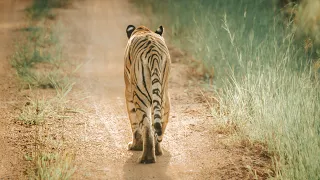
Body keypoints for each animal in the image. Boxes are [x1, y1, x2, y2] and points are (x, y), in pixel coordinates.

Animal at [124, 24, 171, 164]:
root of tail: (153, 53)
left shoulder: (129, 92)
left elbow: (133, 121)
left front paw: (135, 146)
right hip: (162, 97)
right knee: (157, 125)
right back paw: (157, 151)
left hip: (140, 97)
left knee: (146, 127)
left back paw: (146, 158)